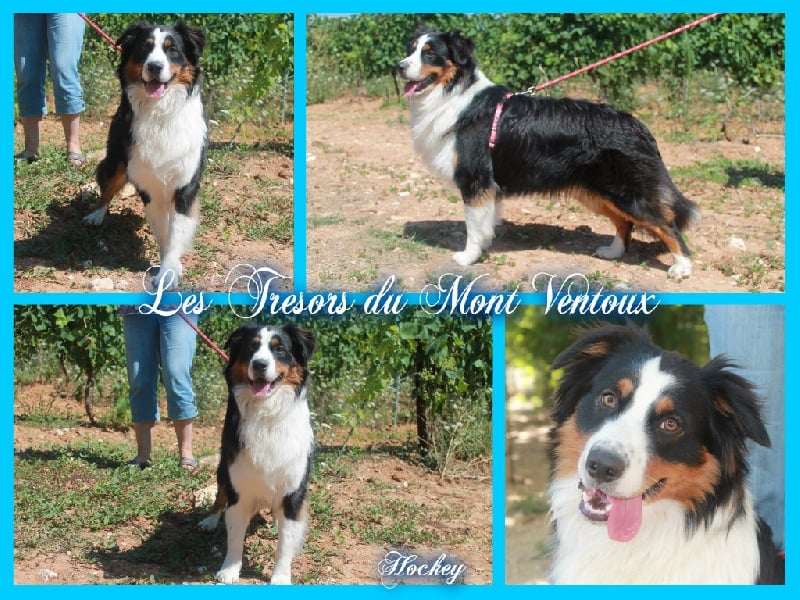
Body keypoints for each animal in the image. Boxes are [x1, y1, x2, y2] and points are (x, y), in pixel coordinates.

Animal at [84, 19, 208, 290]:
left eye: (172, 49)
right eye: (144, 48)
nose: (154, 66)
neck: (160, 112)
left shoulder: (185, 184)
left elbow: (175, 231)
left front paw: (170, 269)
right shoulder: (149, 184)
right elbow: (162, 230)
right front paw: (167, 267)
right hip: (117, 158)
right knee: (108, 187)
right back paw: (96, 215)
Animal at [198, 326, 318, 584]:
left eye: (279, 349)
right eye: (250, 348)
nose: (260, 364)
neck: (267, 412)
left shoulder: (293, 491)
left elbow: (285, 543)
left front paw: (280, 577)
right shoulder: (238, 485)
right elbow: (235, 536)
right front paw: (230, 569)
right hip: (223, 467)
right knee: (220, 494)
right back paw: (210, 520)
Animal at [398, 27, 700, 280]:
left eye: (430, 53)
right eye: (411, 49)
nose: (399, 66)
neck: (452, 93)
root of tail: (637, 125)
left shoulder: (475, 179)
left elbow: (473, 225)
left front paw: (467, 257)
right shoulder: (488, 186)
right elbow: (484, 223)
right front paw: (484, 246)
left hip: (627, 192)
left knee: (666, 224)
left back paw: (682, 267)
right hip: (600, 192)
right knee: (625, 222)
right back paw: (613, 252)